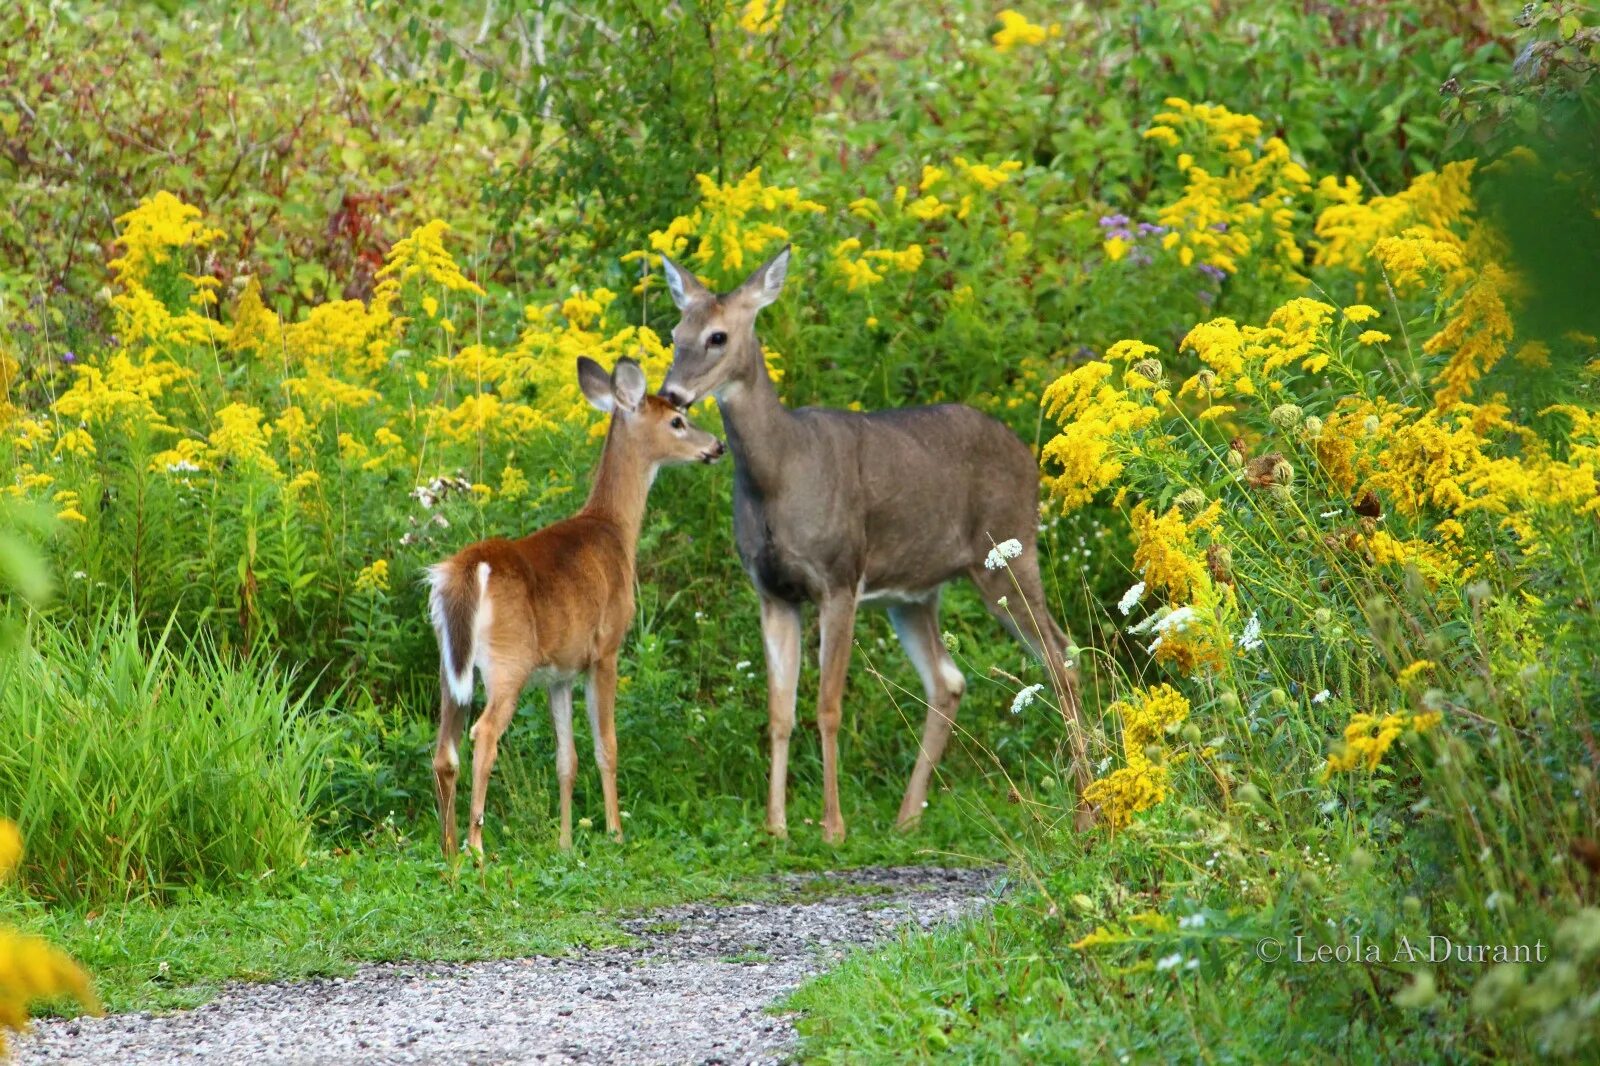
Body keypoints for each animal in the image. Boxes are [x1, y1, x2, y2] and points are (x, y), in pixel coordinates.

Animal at [656, 243, 1094, 838]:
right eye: (675, 331)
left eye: (718, 336)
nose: (671, 393)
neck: (780, 475)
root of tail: (1032, 460)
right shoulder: (773, 592)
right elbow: (779, 711)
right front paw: (776, 828)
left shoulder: (839, 578)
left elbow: (827, 706)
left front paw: (832, 827)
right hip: (913, 594)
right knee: (949, 679)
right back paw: (907, 818)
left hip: (1007, 555)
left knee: (1060, 657)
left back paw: (1087, 812)